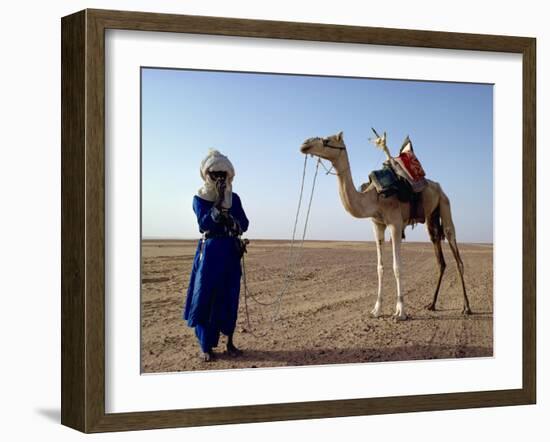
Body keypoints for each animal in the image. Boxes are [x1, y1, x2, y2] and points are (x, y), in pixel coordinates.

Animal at [300, 131, 472, 322]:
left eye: (326, 140)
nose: (304, 144)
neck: (374, 198)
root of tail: (439, 187)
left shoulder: (395, 224)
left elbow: (397, 267)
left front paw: (400, 312)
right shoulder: (378, 225)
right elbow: (380, 268)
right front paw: (376, 310)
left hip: (445, 204)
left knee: (456, 253)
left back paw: (466, 308)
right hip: (432, 217)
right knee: (440, 258)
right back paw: (432, 305)